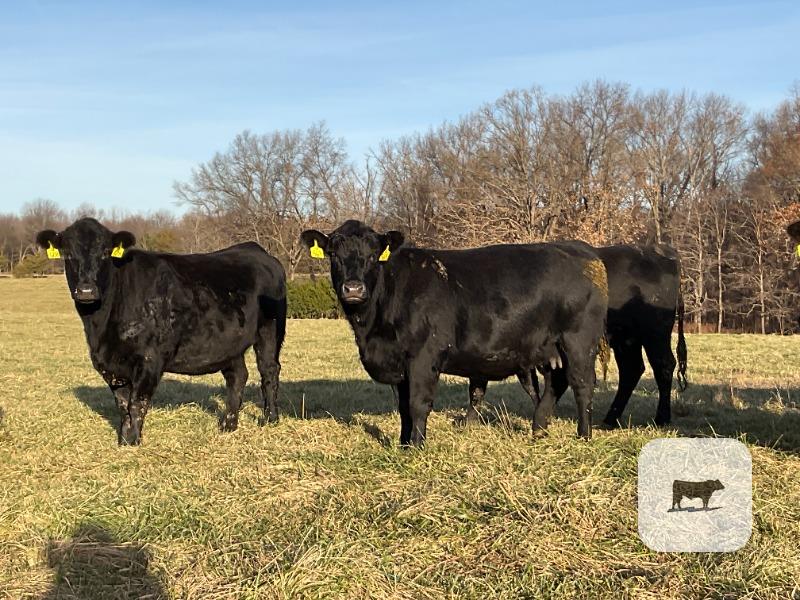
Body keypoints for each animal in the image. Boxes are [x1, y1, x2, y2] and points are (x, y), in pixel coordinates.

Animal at [37, 218, 286, 446]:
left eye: (106, 253)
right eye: (67, 253)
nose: (86, 291)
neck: (100, 328)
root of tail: (255, 249)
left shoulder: (150, 359)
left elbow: (137, 404)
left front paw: (134, 443)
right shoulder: (110, 365)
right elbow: (122, 405)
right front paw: (123, 442)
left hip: (270, 328)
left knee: (269, 370)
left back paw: (270, 419)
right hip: (229, 342)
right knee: (237, 376)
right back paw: (228, 425)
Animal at [301, 220, 608, 446]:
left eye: (375, 255)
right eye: (333, 254)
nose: (353, 288)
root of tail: (582, 250)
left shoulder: (424, 356)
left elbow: (417, 403)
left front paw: (417, 447)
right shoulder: (398, 362)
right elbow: (403, 407)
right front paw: (403, 444)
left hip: (579, 342)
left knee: (582, 384)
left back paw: (583, 436)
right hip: (548, 348)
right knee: (556, 383)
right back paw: (539, 430)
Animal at [468, 242, 686, 429]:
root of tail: (660, 251)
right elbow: (480, 385)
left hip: (655, 333)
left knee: (663, 365)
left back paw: (661, 418)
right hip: (627, 340)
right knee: (631, 370)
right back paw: (610, 419)